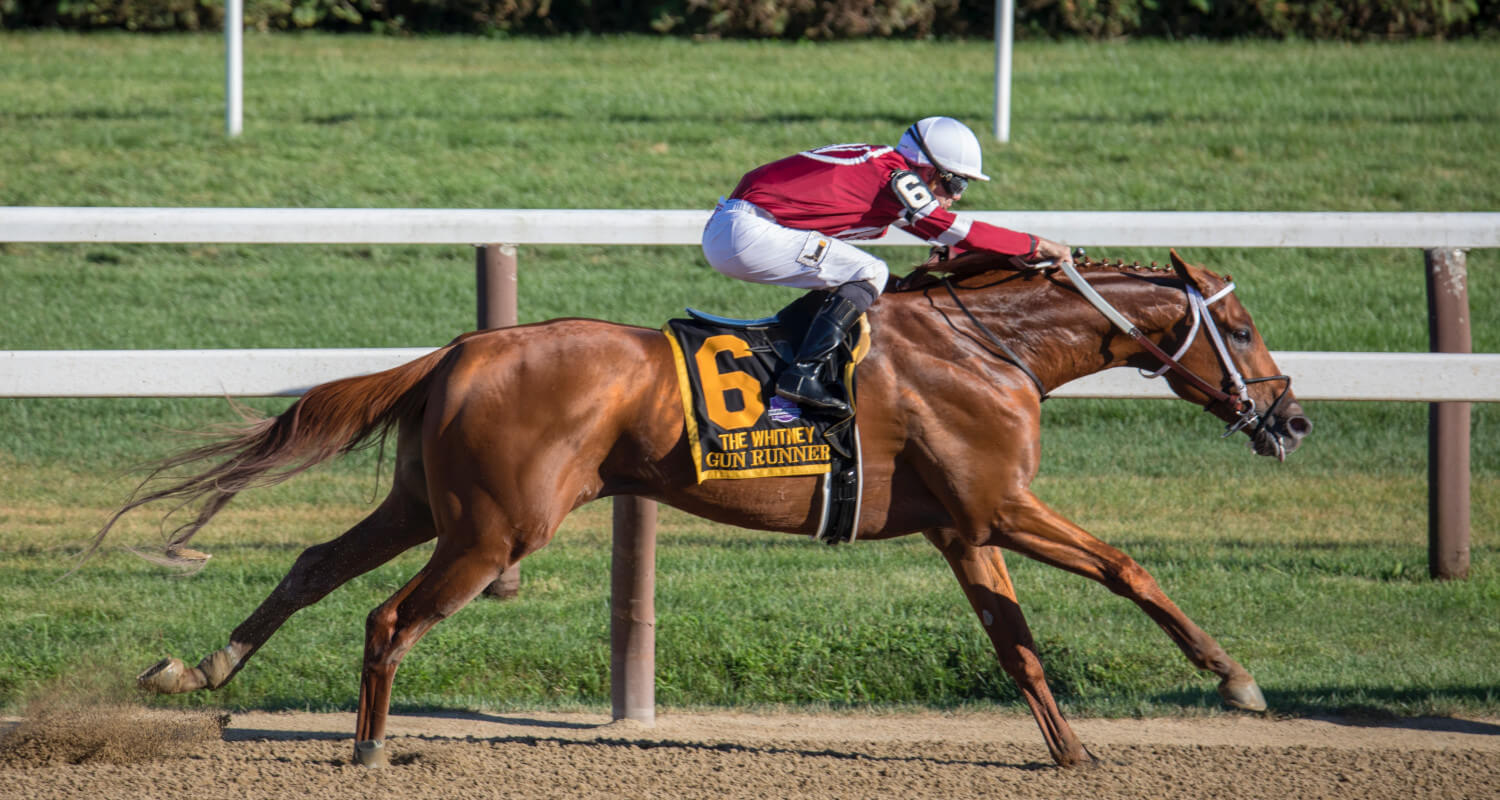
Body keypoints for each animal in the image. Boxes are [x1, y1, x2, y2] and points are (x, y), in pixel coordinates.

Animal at [99, 249, 1308, 768]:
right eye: (1243, 329)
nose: (1291, 418)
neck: (990, 346)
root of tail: (462, 350)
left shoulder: (965, 526)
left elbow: (1016, 646)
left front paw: (1071, 755)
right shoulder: (1000, 506)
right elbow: (1128, 568)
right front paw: (1237, 679)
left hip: (428, 506)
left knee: (314, 562)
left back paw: (195, 669)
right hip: (494, 528)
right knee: (390, 618)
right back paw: (366, 753)